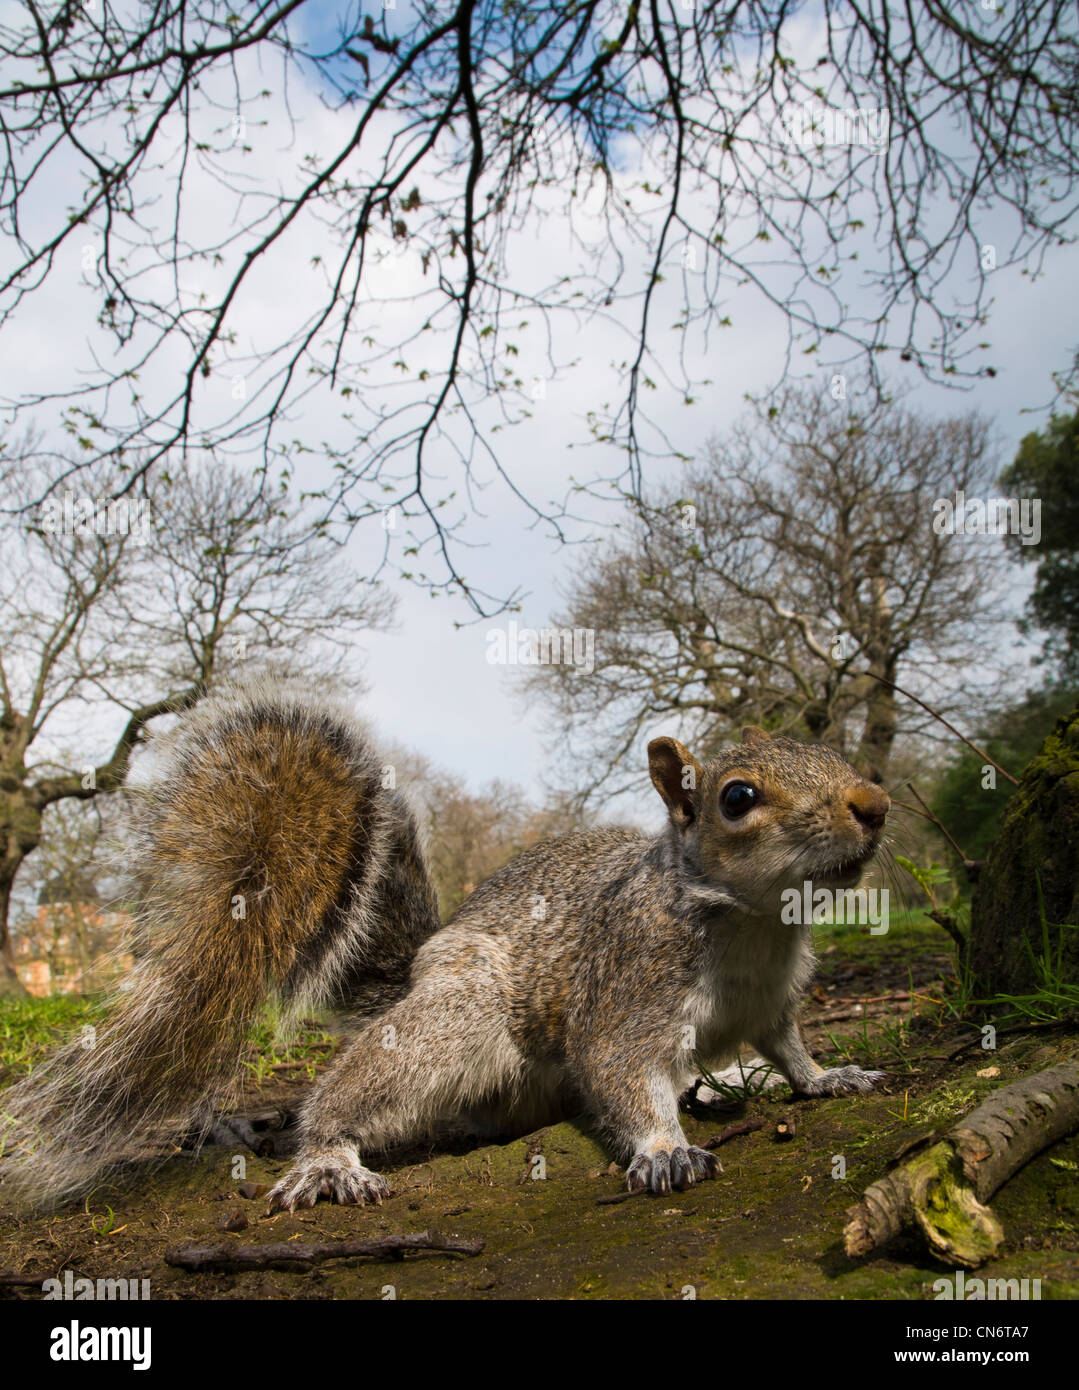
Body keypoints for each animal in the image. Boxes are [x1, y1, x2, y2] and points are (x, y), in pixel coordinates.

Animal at [2, 681, 884, 1206]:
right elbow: (620, 1070)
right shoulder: (630, 985)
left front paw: (824, 1075)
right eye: (737, 797)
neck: (754, 922)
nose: (873, 804)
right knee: (357, 1091)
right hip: (458, 1020)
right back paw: (325, 1155)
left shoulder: (772, 1000)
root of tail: (419, 972)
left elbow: (787, 1046)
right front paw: (666, 1148)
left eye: (834, 754)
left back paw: (721, 1080)